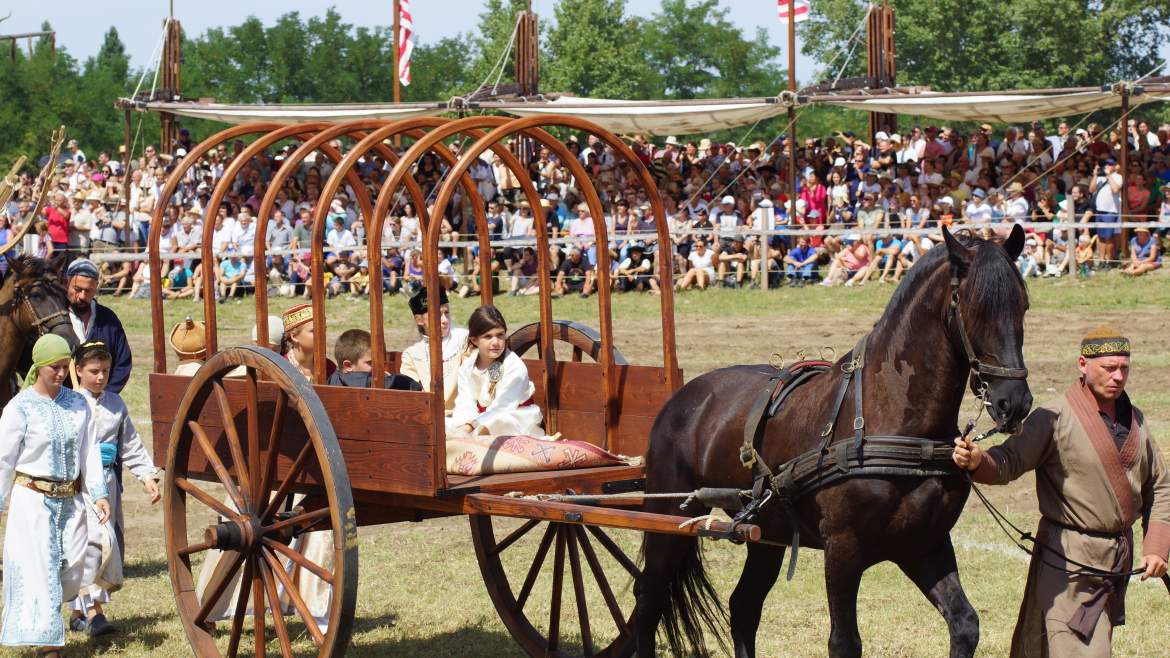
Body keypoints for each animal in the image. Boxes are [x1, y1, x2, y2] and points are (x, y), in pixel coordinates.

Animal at [641, 227, 1034, 655]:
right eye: (976, 307)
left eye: (1023, 306)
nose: (1014, 402)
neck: (894, 421)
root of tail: (682, 398)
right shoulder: (843, 548)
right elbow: (844, 641)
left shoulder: (924, 543)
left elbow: (964, 623)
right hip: (668, 522)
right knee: (649, 598)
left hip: (767, 532)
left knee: (743, 606)